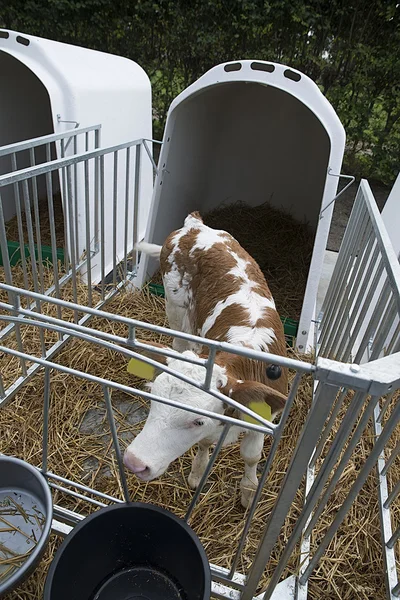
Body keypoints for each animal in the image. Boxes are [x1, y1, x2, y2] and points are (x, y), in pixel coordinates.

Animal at [122, 211, 288, 506]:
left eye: (198, 421)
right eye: (153, 400)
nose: (134, 462)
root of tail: (193, 226)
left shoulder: (265, 417)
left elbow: (251, 456)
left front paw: (248, 491)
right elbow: (205, 444)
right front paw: (198, 473)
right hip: (175, 307)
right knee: (179, 339)